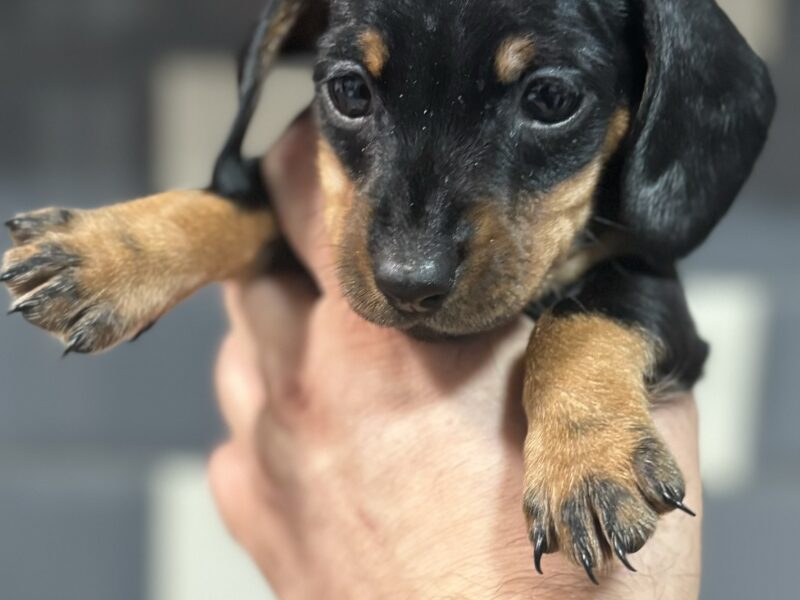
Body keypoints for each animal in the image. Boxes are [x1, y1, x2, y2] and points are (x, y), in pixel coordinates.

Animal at [0, 0, 776, 584]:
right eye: (349, 90)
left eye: (552, 98)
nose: (410, 282)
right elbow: (238, 203)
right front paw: (109, 249)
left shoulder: (656, 287)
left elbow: (586, 312)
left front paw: (586, 459)